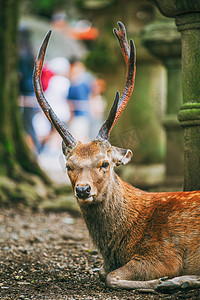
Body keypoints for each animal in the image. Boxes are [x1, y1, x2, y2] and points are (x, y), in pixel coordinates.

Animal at [32, 21, 200, 292]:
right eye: (68, 166)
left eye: (105, 163)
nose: (83, 189)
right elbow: (103, 273)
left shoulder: (164, 254)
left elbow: (111, 276)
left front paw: (164, 282)